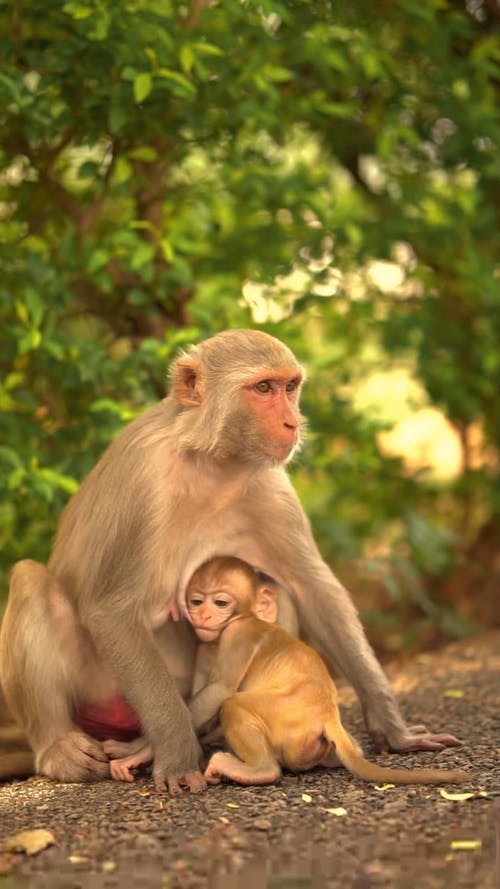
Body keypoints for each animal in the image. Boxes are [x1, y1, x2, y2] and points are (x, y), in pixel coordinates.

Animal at [106, 560, 468, 788]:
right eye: (196, 601)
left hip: (286, 718)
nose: (204, 615)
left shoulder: (237, 634)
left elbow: (219, 690)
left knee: (234, 706)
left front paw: (142, 751)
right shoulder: (204, 645)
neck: (243, 618)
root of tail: (327, 715)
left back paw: (255, 770)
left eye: (220, 603)